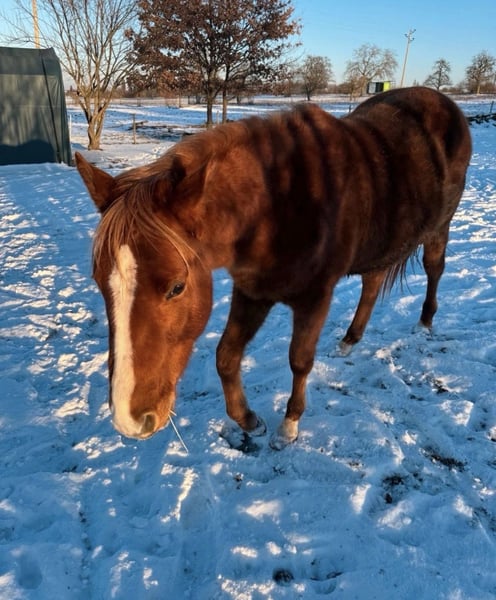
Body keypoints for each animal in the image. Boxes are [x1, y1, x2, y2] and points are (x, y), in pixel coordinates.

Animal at [76, 86, 471, 449]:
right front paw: (250, 421)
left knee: (434, 269)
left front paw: (289, 426)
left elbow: (299, 360)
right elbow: (226, 356)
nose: (128, 420)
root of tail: (443, 102)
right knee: (372, 283)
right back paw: (349, 341)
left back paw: (425, 322)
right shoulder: (253, 291)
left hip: (439, 227)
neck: (279, 205)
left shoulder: (315, 297)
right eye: (99, 283)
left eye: (176, 287)